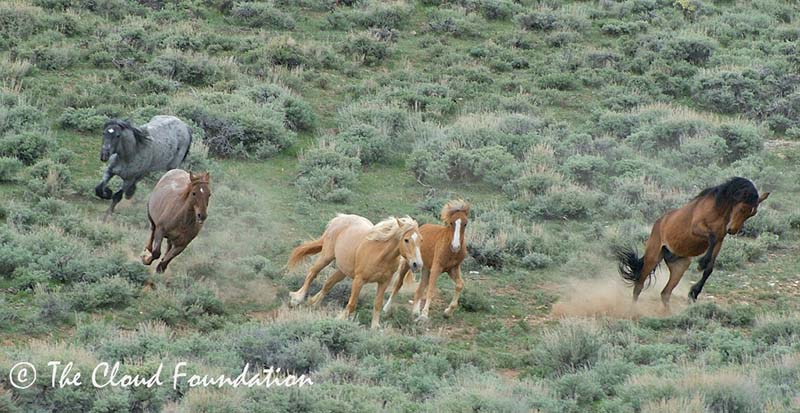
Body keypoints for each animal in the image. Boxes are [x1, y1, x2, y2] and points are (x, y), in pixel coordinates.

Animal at [288, 214, 424, 326]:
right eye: (406, 239)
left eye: (421, 240)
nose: (417, 264)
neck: (381, 255)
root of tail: (339, 219)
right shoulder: (359, 280)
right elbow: (352, 303)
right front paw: (340, 320)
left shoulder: (383, 282)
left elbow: (378, 304)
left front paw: (375, 327)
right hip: (326, 257)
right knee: (312, 273)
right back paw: (297, 299)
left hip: (342, 270)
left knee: (329, 283)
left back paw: (313, 303)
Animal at [620, 177, 768, 308]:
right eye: (742, 208)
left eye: (752, 214)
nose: (732, 230)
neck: (717, 209)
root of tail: (658, 223)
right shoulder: (697, 228)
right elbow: (711, 239)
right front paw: (701, 263)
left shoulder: (720, 240)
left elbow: (709, 268)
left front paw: (694, 293)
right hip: (653, 258)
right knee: (638, 287)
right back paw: (633, 310)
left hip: (680, 265)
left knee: (665, 293)